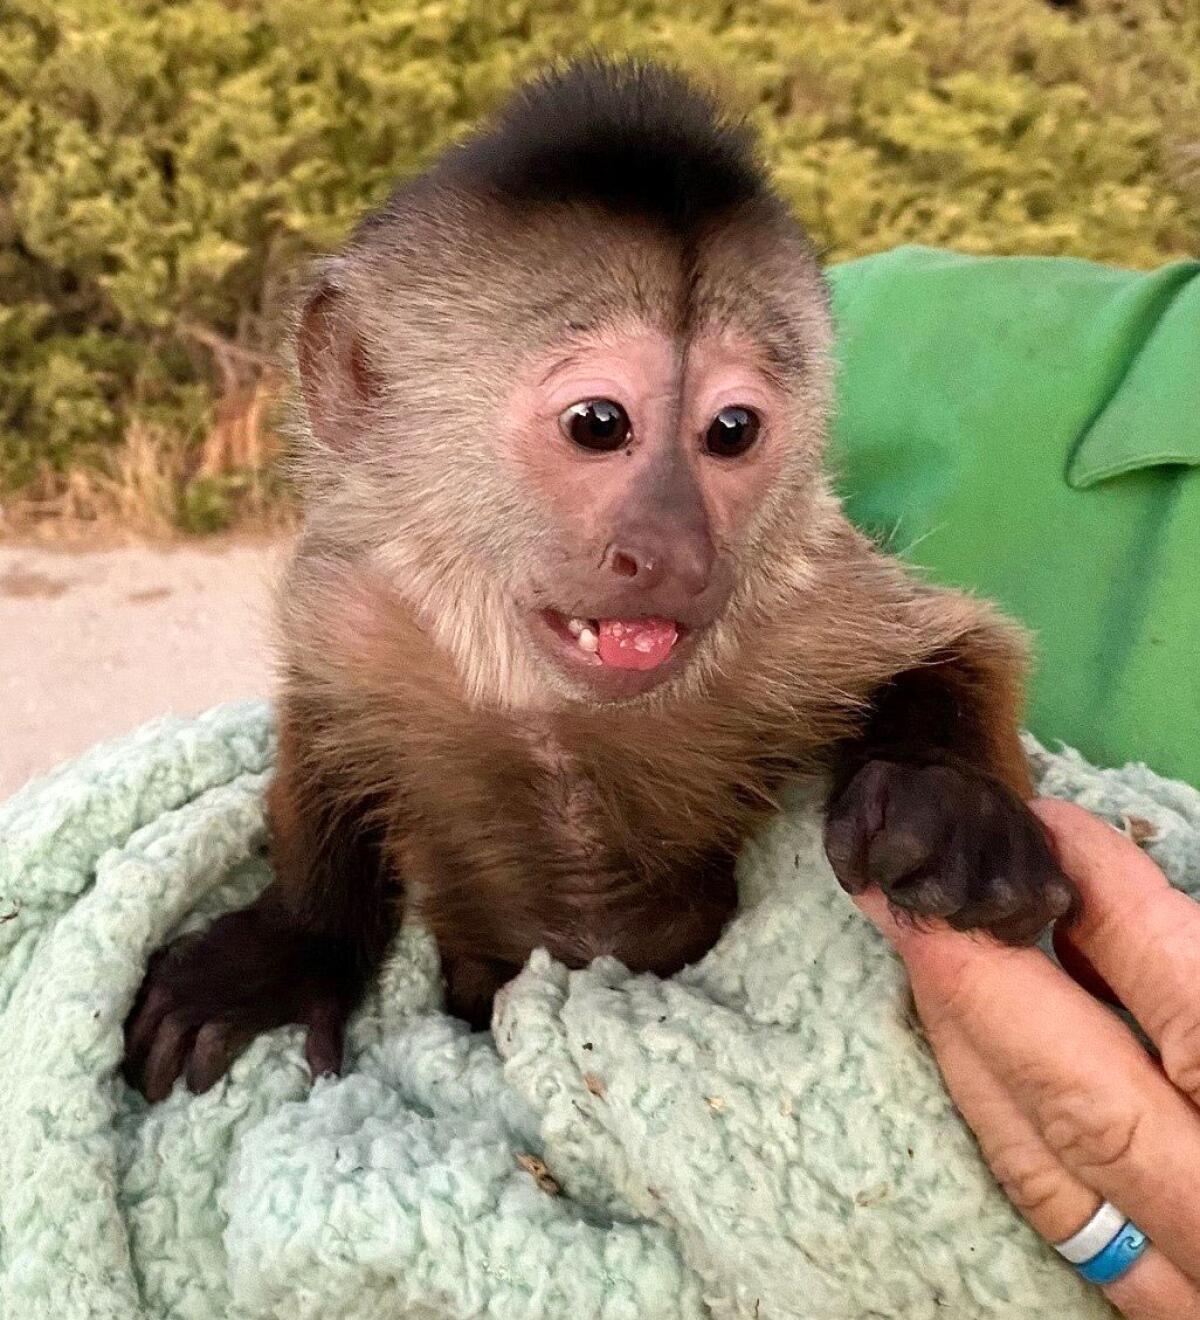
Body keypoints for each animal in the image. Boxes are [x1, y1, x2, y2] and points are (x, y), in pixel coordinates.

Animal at [123, 58, 1075, 1102]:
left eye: (731, 432)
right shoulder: (356, 605)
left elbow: (954, 644)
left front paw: (949, 801)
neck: (553, 708)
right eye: (598, 424)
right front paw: (291, 946)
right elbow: (327, 730)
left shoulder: (795, 602)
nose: (676, 552)